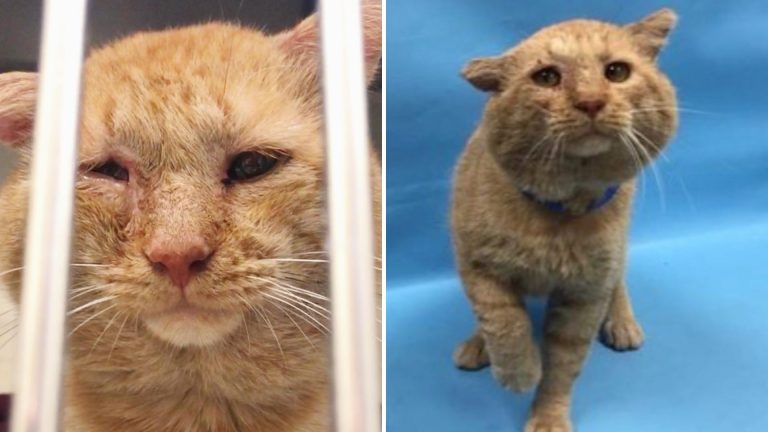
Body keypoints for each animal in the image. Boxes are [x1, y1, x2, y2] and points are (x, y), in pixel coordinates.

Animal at [450, 9, 680, 432]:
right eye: (547, 77)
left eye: (617, 71)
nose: (590, 101)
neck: (561, 212)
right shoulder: (477, 265)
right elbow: (504, 321)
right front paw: (519, 370)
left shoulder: (585, 295)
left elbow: (563, 365)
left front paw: (548, 414)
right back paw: (477, 345)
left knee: (619, 280)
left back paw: (622, 321)